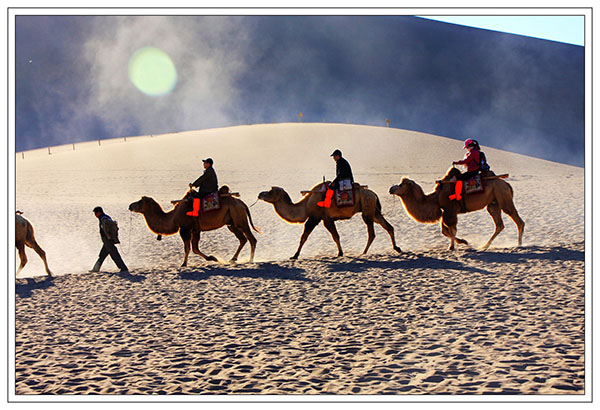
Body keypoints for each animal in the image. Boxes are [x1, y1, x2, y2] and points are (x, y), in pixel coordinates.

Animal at [130, 188, 258, 266]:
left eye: (140, 201)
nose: (130, 205)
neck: (173, 217)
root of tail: (242, 204)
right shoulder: (195, 230)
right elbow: (195, 248)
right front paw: (213, 258)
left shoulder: (185, 229)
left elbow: (187, 248)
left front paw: (183, 264)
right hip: (232, 223)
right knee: (243, 239)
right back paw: (233, 259)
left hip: (240, 219)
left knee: (252, 239)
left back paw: (251, 260)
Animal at [256, 183, 400, 260]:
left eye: (271, 191)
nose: (260, 194)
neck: (305, 205)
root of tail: (374, 194)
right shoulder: (327, 219)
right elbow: (335, 236)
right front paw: (340, 253)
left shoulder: (314, 218)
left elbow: (304, 237)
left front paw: (295, 255)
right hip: (374, 211)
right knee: (388, 226)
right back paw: (396, 248)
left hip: (367, 209)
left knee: (372, 233)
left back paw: (364, 252)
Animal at [390, 167, 524, 250]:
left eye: (401, 185)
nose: (391, 188)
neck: (435, 198)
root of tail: (507, 184)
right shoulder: (445, 212)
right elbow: (444, 231)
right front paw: (463, 242)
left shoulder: (450, 210)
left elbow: (451, 229)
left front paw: (452, 247)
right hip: (493, 203)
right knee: (499, 224)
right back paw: (484, 246)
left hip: (503, 196)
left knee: (517, 219)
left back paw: (519, 244)